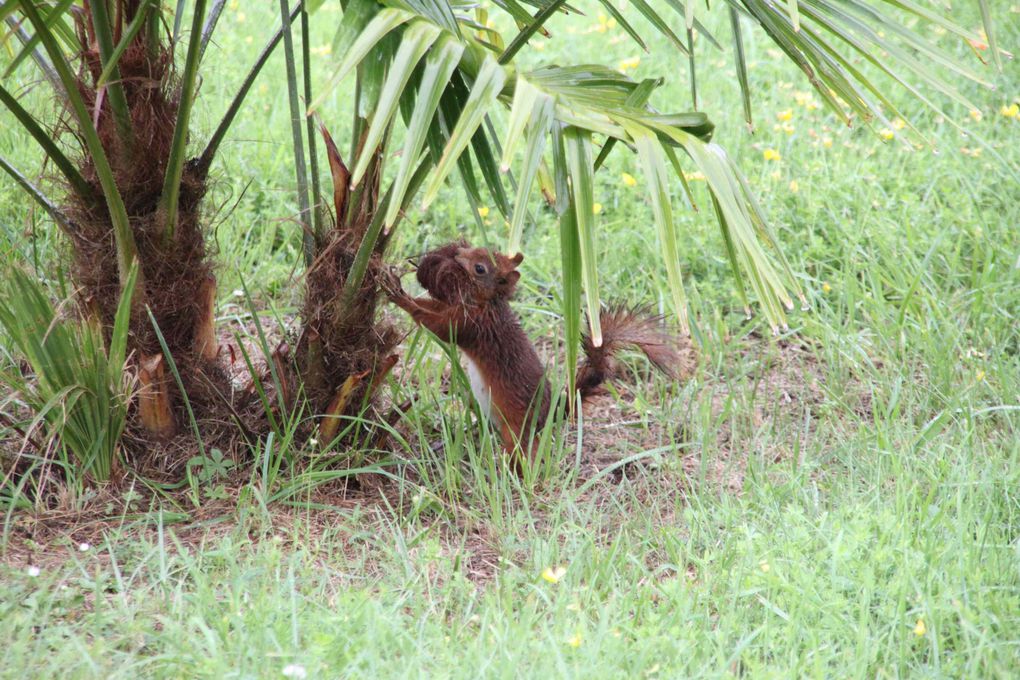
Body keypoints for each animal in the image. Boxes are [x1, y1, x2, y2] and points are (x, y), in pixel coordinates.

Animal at [383, 241, 685, 464]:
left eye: (480, 268)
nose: (456, 253)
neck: (489, 303)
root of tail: (555, 412)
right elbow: (433, 309)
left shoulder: (473, 326)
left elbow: (438, 326)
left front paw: (398, 295)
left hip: (517, 428)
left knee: (526, 451)